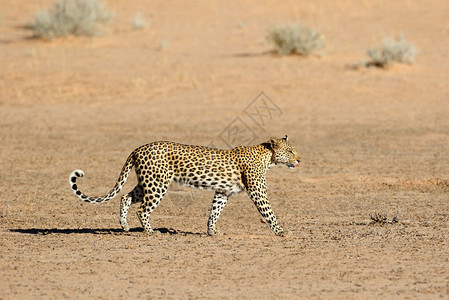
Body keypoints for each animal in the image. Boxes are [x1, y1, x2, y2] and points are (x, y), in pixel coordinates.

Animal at [69, 135, 300, 236]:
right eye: (290, 151)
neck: (268, 158)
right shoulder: (257, 191)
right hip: (157, 184)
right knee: (143, 209)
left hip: (147, 182)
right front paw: (281, 231)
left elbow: (215, 211)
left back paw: (125, 226)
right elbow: (269, 212)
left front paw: (211, 231)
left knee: (126, 197)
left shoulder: (222, 192)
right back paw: (151, 231)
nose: (299, 160)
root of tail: (138, 148)